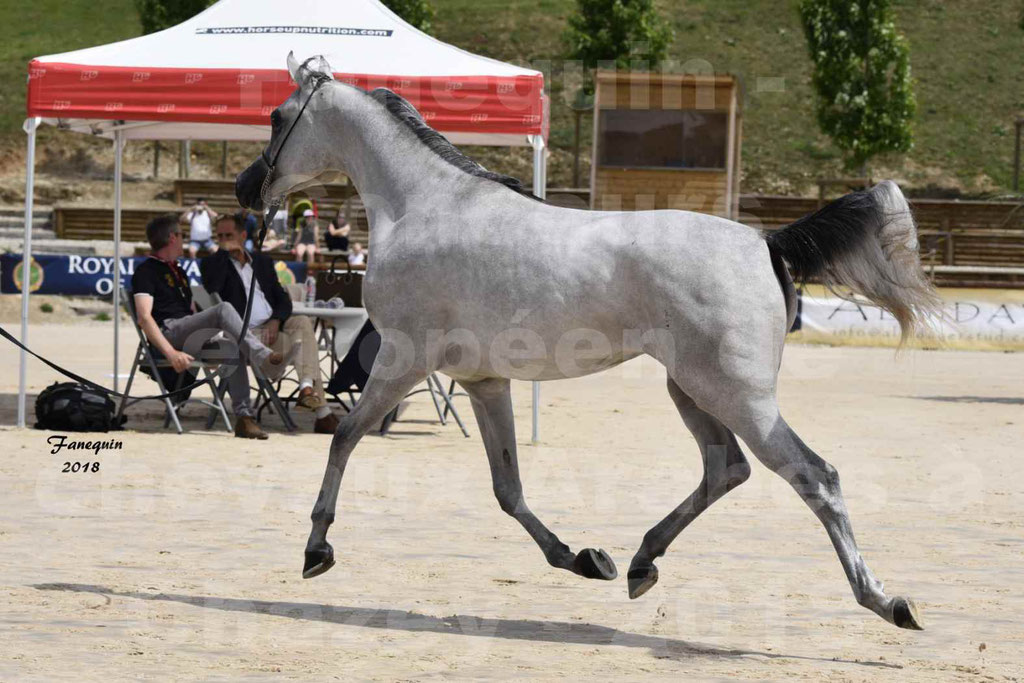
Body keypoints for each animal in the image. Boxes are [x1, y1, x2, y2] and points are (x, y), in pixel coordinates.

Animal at [235, 54, 937, 634]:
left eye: (275, 117)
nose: (245, 188)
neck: (427, 206)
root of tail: (766, 241)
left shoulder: (403, 359)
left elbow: (346, 436)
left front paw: (316, 550)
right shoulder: (483, 381)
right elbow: (508, 487)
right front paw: (581, 558)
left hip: (736, 394)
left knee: (813, 475)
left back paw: (886, 601)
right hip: (691, 388)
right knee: (725, 468)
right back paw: (640, 563)